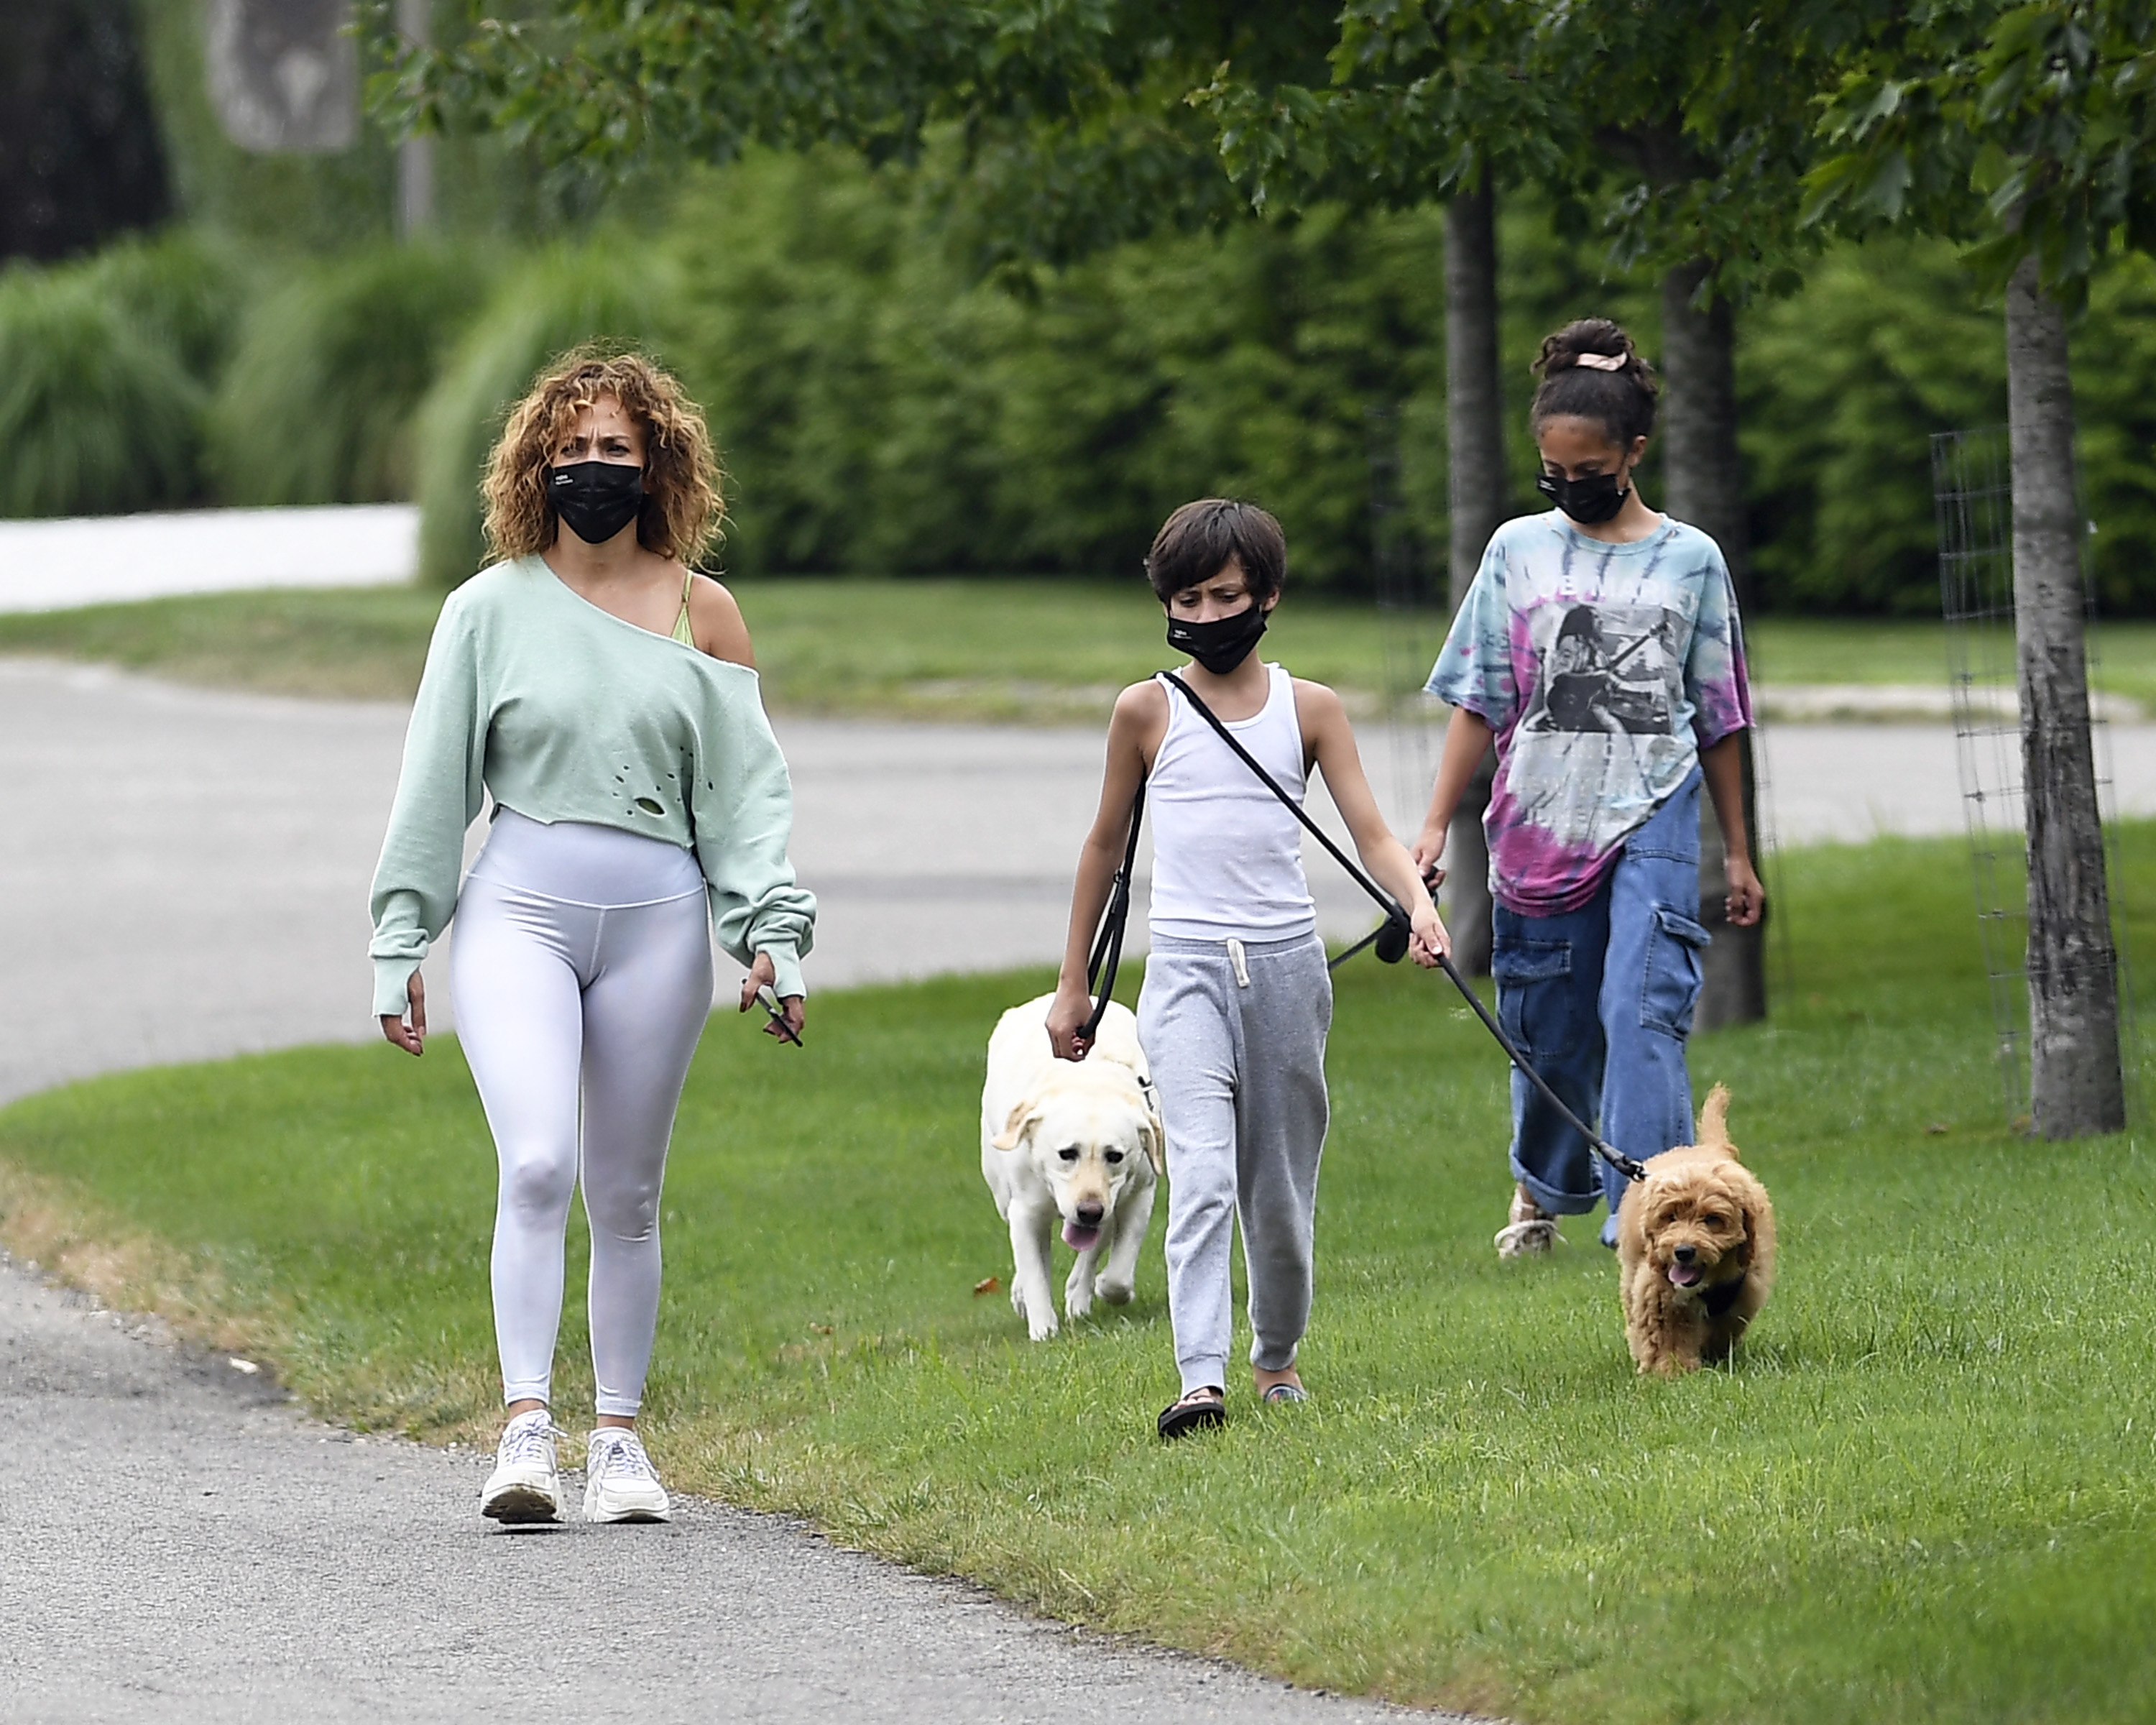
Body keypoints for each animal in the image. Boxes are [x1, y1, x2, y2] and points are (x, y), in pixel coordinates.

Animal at [1621, 1087, 1768, 1380]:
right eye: (1670, 1217)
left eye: (1713, 1220)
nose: (1683, 1252)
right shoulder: (1658, 1288)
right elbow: (1666, 1333)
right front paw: (1673, 1370)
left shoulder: (1743, 1292)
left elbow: (1723, 1327)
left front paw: (1712, 1357)